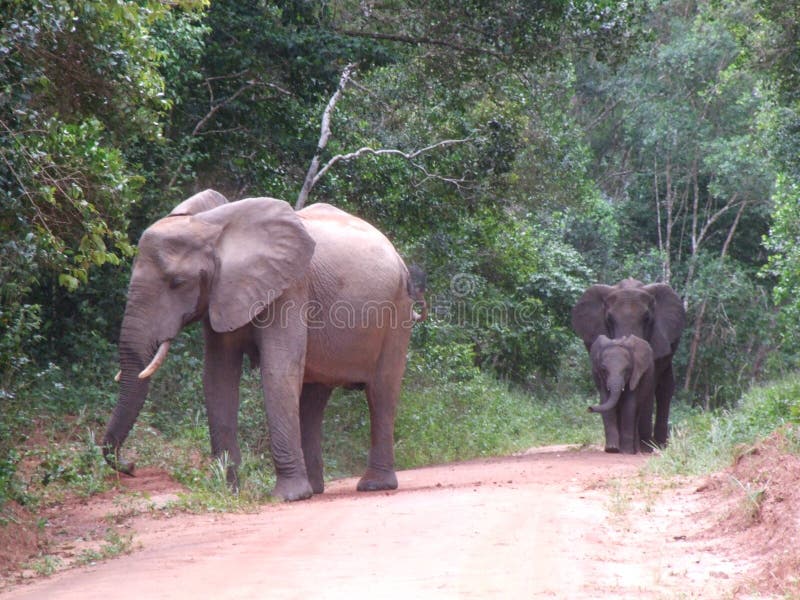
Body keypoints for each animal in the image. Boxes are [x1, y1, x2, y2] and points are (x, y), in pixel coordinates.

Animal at [103, 191, 422, 502]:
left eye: (178, 282)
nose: (131, 466)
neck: (213, 228)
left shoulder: (290, 289)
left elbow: (278, 371)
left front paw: (287, 497)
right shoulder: (222, 295)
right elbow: (218, 377)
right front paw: (229, 494)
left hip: (398, 309)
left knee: (381, 392)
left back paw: (372, 486)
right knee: (314, 399)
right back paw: (315, 489)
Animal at [568, 278, 688, 448]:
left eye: (647, 318)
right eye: (609, 319)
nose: (589, 408)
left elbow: (647, 385)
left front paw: (644, 446)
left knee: (665, 387)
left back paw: (657, 445)